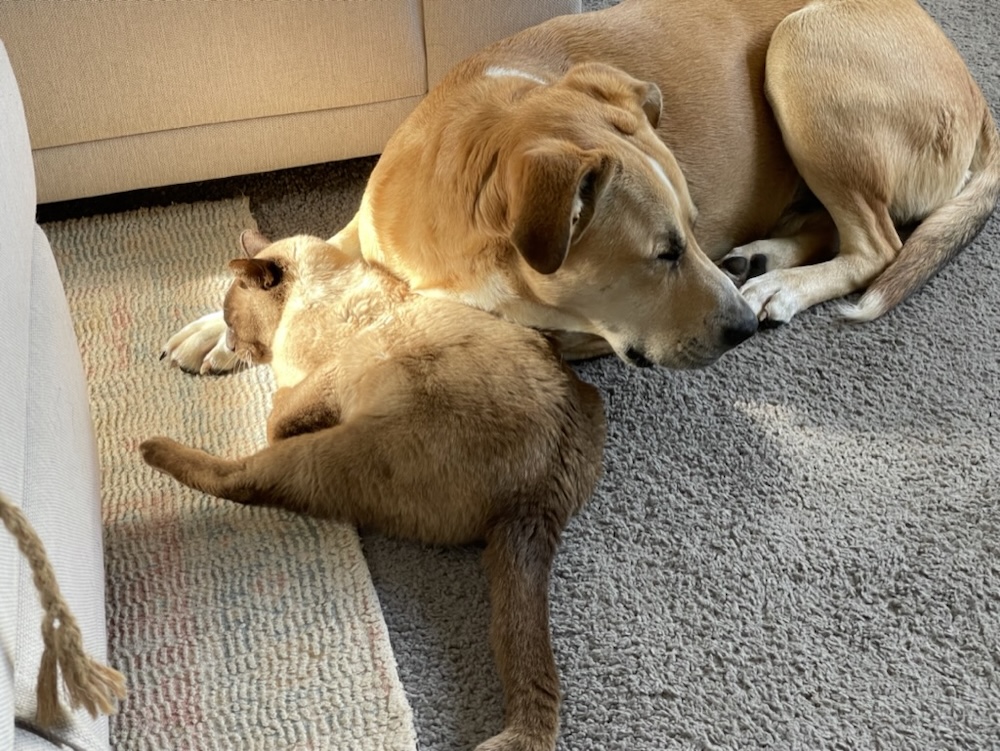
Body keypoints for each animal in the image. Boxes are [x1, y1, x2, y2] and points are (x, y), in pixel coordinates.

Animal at [142, 231, 608, 751]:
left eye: (230, 316)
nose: (231, 342)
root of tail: (544, 495)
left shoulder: (327, 378)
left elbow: (277, 417)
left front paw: (262, 389)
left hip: (333, 451)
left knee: (244, 478)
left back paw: (150, 446)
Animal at [162, 0, 992, 376]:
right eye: (663, 252)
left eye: (685, 235)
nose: (739, 331)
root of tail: (979, 97)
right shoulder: (366, 228)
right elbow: (316, 248)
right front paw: (217, 325)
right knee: (837, 224)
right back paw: (763, 262)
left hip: (801, 46)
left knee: (877, 242)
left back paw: (778, 285)